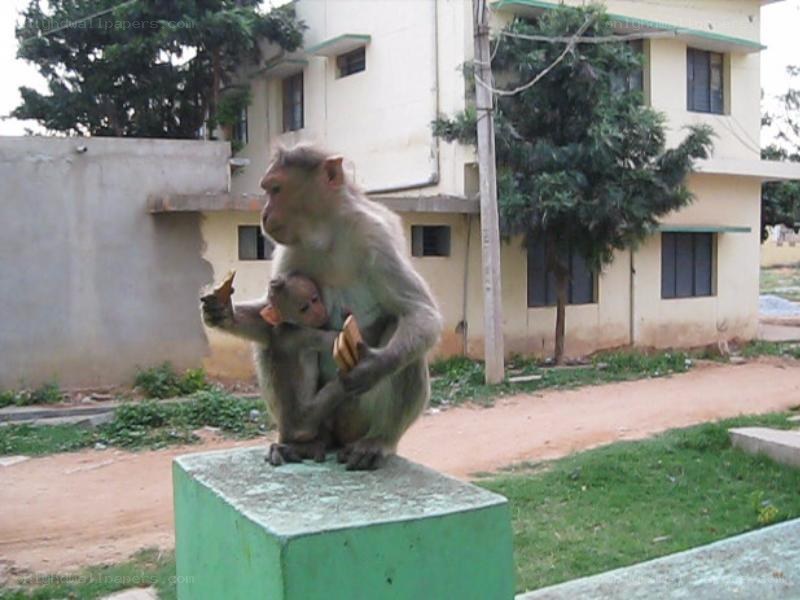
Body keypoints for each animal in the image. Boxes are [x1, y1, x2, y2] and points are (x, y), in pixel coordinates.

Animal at [201, 272, 349, 465]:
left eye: (315, 299)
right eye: (304, 308)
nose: (319, 312)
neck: (288, 324)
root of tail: (286, 430)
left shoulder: (273, 329)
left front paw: (222, 311)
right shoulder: (303, 334)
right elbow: (335, 340)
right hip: (306, 419)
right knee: (341, 386)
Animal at [257, 144, 443, 470]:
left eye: (276, 189)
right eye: (267, 190)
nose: (264, 214)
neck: (327, 235)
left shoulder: (375, 237)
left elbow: (420, 313)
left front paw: (373, 366)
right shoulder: (289, 252)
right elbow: (276, 316)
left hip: (358, 417)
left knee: (403, 335)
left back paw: (379, 440)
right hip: (326, 418)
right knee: (276, 340)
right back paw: (300, 436)